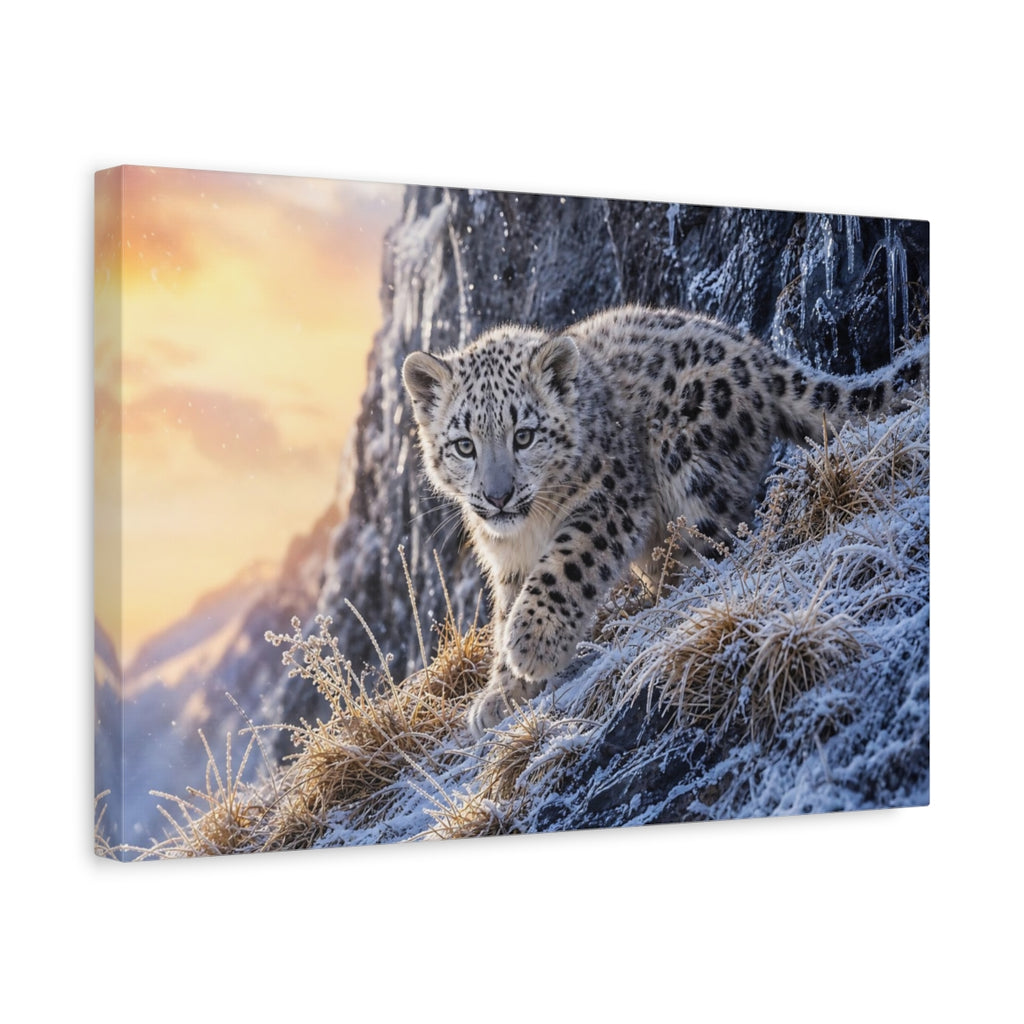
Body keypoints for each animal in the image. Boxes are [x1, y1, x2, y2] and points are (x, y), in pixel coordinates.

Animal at [401, 305, 928, 739]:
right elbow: (508, 606)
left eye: (524, 435)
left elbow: (565, 566)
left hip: (690, 469)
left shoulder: (611, 497)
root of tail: (757, 351)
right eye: (464, 445)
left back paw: (673, 601)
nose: (498, 496)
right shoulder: (507, 559)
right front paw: (504, 690)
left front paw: (533, 644)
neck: (529, 528)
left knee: (718, 546)